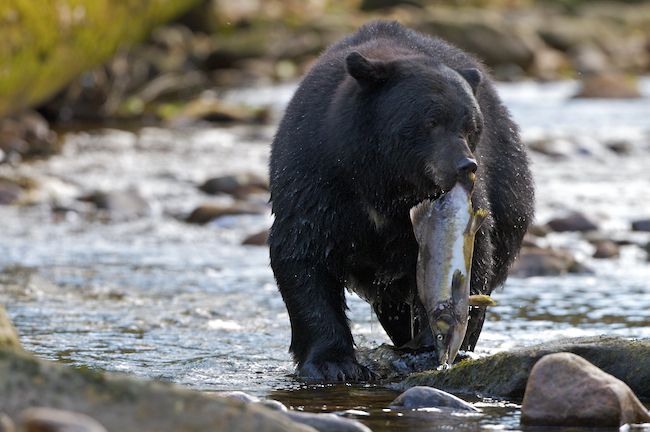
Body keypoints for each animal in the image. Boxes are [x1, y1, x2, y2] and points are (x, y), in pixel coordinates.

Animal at [268, 21, 534, 382]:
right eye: (431, 121)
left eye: (471, 126)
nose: (466, 166)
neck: (383, 181)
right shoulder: (315, 176)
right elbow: (302, 254)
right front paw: (333, 363)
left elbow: (476, 256)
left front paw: (428, 348)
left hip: (510, 187)